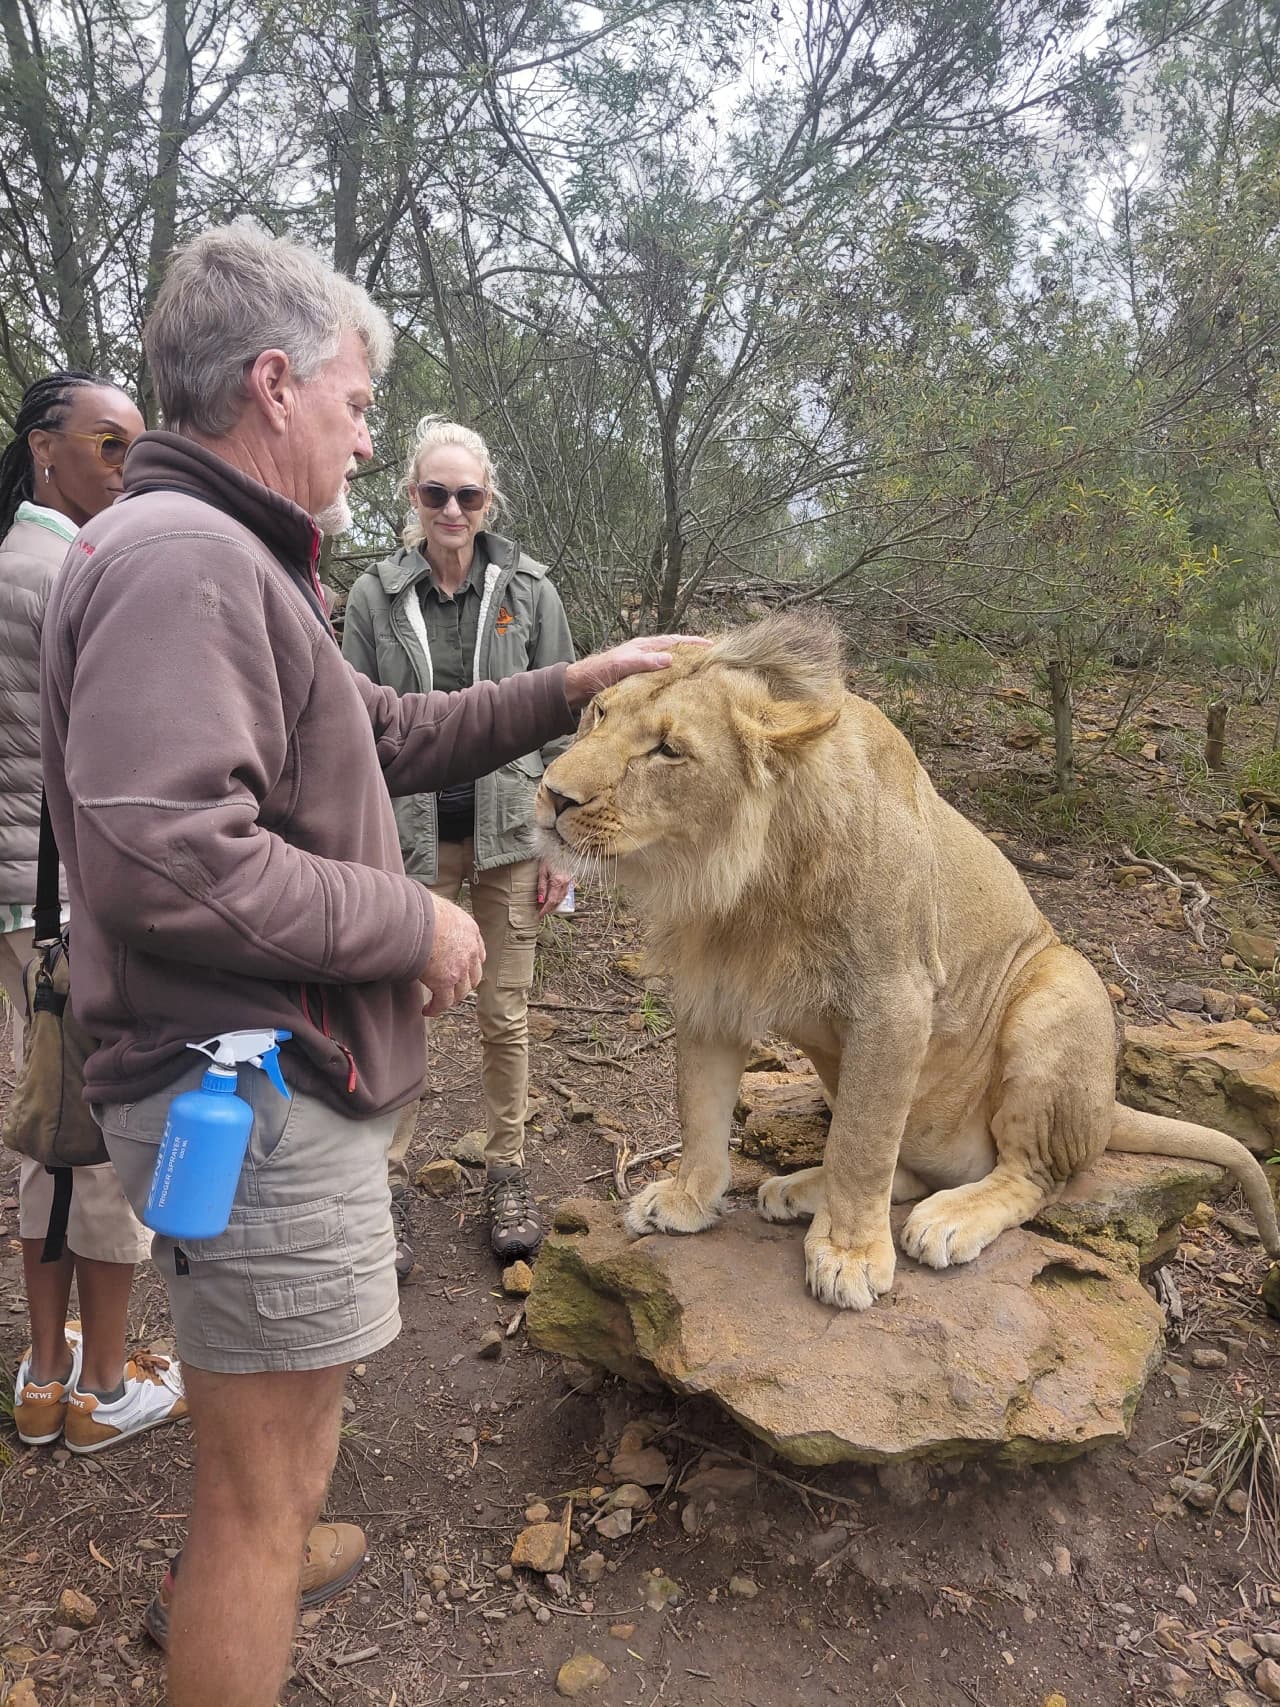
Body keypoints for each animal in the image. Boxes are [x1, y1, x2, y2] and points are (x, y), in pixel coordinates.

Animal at [535, 613, 1280, 1311]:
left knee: (1035, 1176)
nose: (552, 794)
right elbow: (701, 1109)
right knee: (913, 1164)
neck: (745, 881)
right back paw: (798, 1191)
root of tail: (1104, 1106)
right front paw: (688, 1200)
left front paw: (848, 1255)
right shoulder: (712, 988)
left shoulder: (893, 1002)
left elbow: (862, 1142)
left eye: (668, 750)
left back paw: (946, 1219)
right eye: (599, 714)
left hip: (1062, 994)